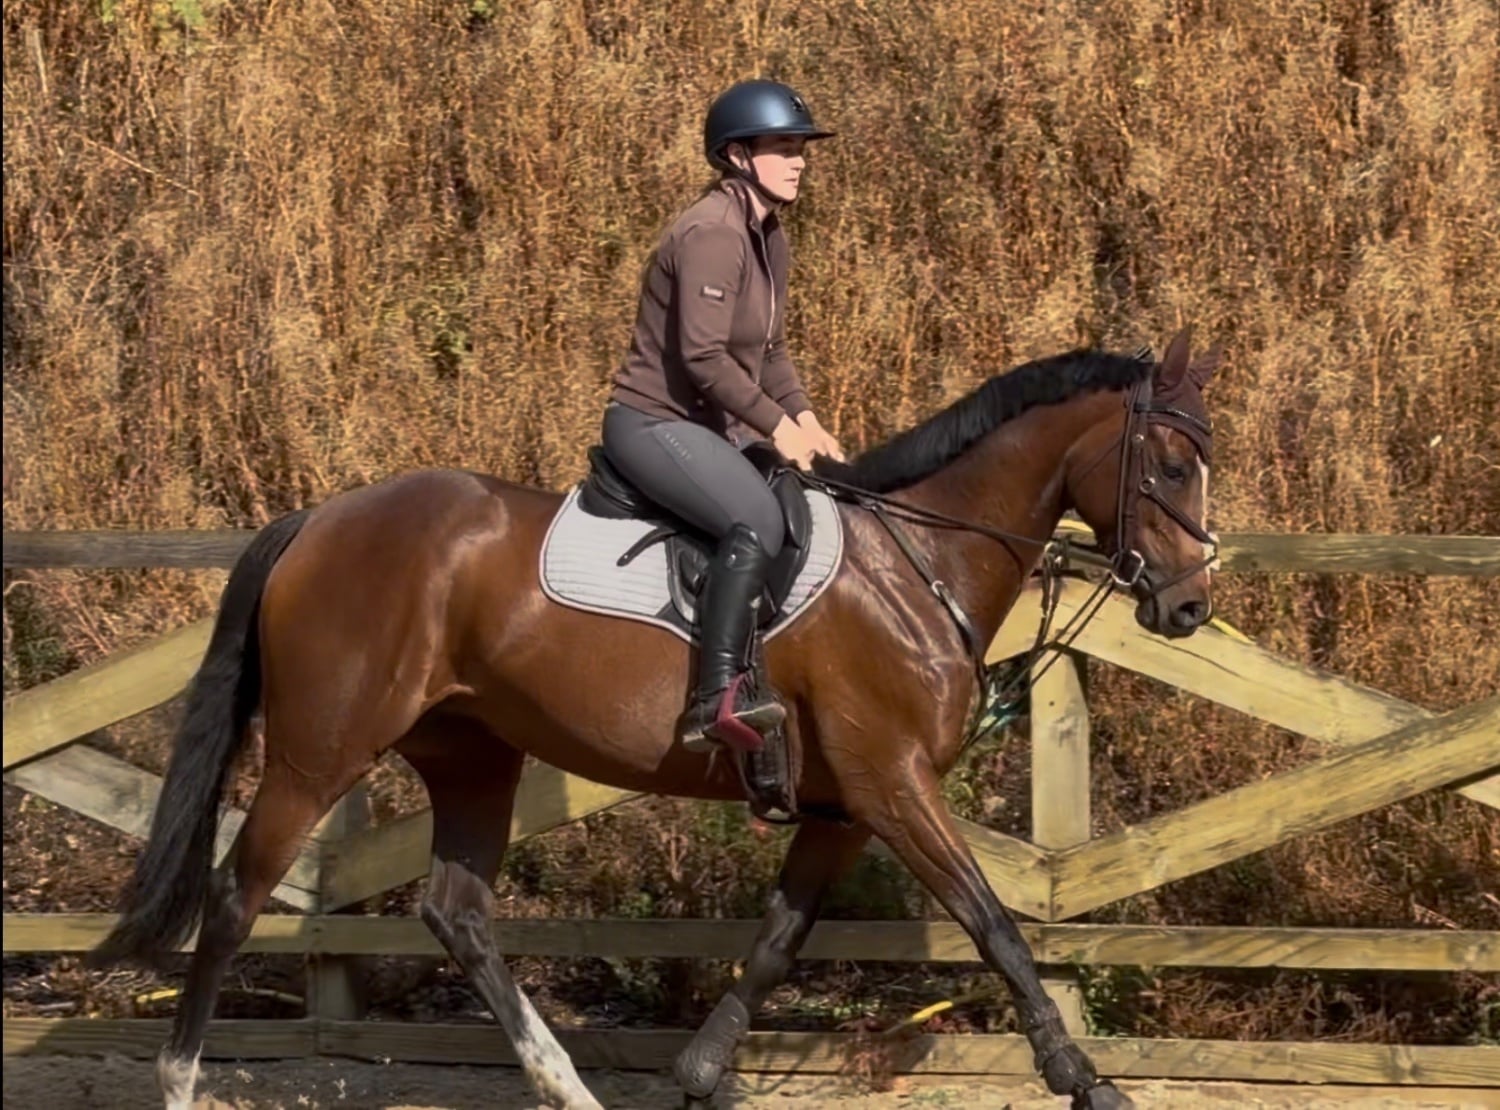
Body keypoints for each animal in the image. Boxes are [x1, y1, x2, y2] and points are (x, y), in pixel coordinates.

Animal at [91, 328, 1220, 1110]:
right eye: (1169, 468)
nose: (1188, 610)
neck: (917, 561)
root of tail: (321, 519)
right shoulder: (892, 785)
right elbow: (995, 925)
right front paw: (1086, 1079)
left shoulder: (840, 806)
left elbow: (777, 943)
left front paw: (699, 1071)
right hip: (319, 754)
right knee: (235, 898)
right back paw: (180, 1082)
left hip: (472, 756)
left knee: (458, 912)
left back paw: (566, 1086)